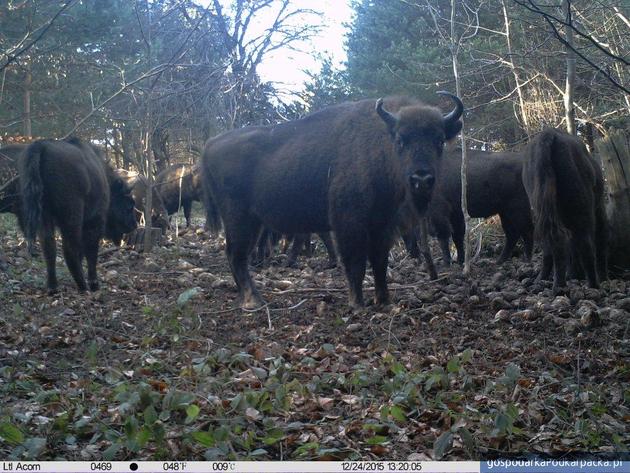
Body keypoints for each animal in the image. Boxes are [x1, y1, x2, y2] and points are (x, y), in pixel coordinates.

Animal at [19, 136, 138, 292]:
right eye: (129, 204)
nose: (134, 224)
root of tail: (41, 146)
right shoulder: (94, 221)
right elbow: (90, 250)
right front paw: (94, 283)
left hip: (44, 215)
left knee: (49, 246)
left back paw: (52, 287)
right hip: (72, 216)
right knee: (69, 248)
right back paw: (83, 286)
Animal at [202, 91, 464, 310]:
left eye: (440, 140)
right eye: (400, 140)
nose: (422, 179)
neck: (380, 143)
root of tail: (210, 144)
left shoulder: (382, 225)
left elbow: (379, 261)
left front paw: (384, 301)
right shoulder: (349, 222)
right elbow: (355, 262)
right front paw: (357, 304)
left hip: (253, 221)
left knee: (237, 255)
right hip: (239, 218)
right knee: (236, 255)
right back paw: (254, 301)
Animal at [520, 128, 608, 292]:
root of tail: (548, 135)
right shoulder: (599, 210)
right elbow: (600, 242)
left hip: (540, 208)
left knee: (551, 243)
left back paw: (547, 281)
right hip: (582, 211)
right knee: (586, 245)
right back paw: (592, 285)